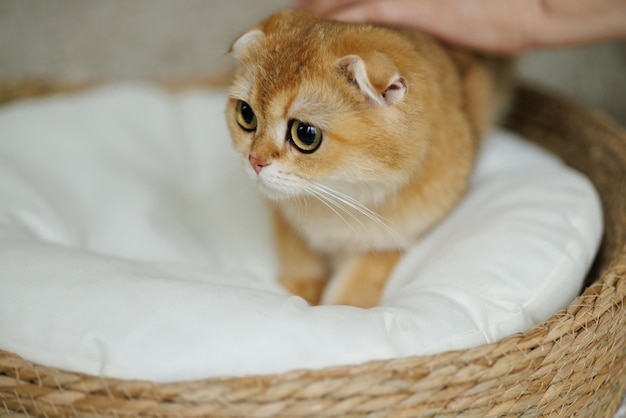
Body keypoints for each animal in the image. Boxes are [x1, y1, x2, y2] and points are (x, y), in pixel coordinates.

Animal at [227, 9, 510, 306]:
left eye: (305, 134)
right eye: (246, 115)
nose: (255, 161)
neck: (339, 199)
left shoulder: (394, 240)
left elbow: (355, 288)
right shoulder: (285, 218)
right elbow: (298, 255)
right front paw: (301, 290)